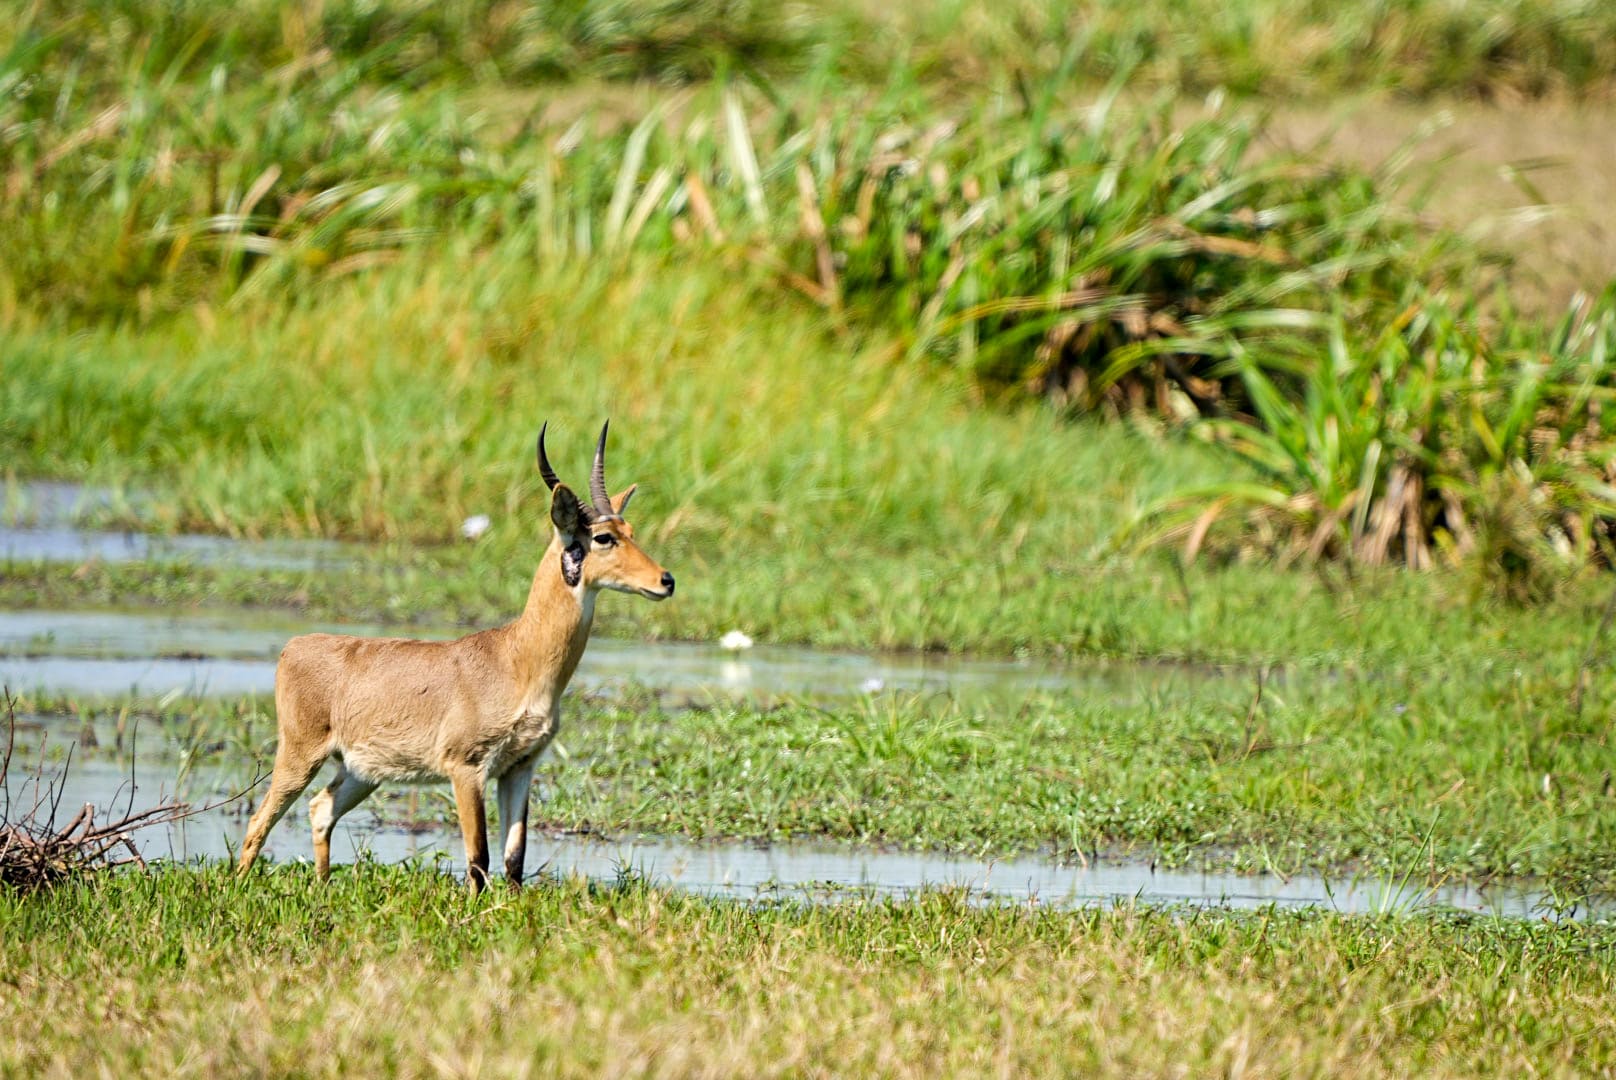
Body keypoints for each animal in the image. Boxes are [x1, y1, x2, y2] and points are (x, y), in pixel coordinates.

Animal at [234, 423, 675, 892]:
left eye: (631, 529)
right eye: (604, 537)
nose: (665, 580)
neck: (516, 659)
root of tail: (295, 645)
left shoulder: (520, 767)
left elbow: (514, 858)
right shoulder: (467, 768)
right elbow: (478, 857)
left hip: (361, 771)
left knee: (320, 809)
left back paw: (322, 886)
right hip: (300, 754)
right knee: (259, 820)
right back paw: (238, 886)